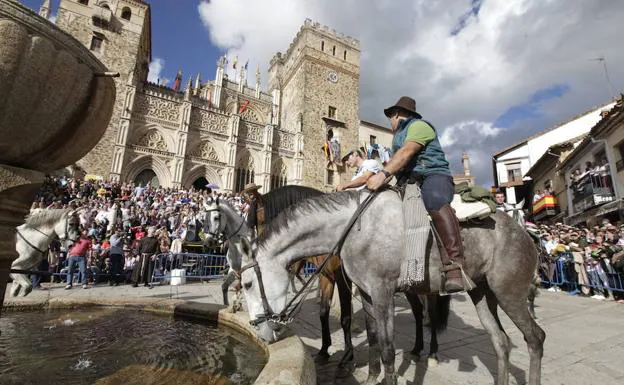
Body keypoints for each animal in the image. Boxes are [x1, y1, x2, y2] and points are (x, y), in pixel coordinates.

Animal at [236, 189, 544, 384]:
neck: (353, 228)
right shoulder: (366, 293)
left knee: (535, 338)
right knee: (501, 342)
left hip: (509, 294)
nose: (259, 330)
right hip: (482, 293)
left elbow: (386, 346)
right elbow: (373, 338)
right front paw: (371, 377)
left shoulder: (382, 293)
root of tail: (524, 234)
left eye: (248, 283)